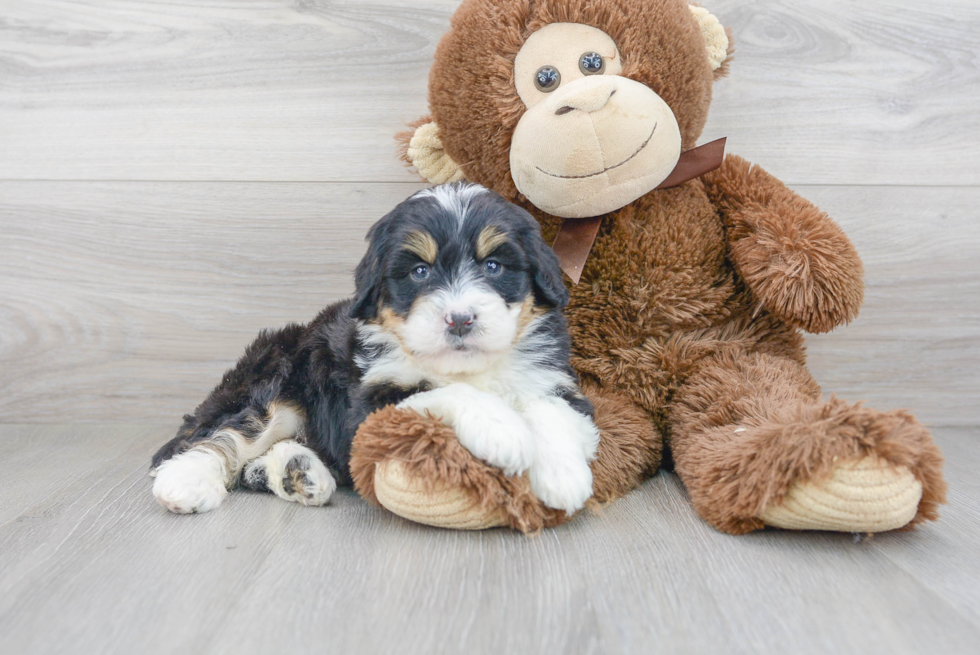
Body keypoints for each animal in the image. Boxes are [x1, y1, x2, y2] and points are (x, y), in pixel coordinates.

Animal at [150, 183, 600, 516]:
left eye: (493, 266)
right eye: (419, 271)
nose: (459, 319)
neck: (466, 366)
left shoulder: (552, 378)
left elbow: (552, 409)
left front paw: (562, 476)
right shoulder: (371, 402)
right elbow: (443, 391)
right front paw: (503, 430)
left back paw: (300, 473)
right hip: (275, 375)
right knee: (231, 432)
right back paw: (186, 481)